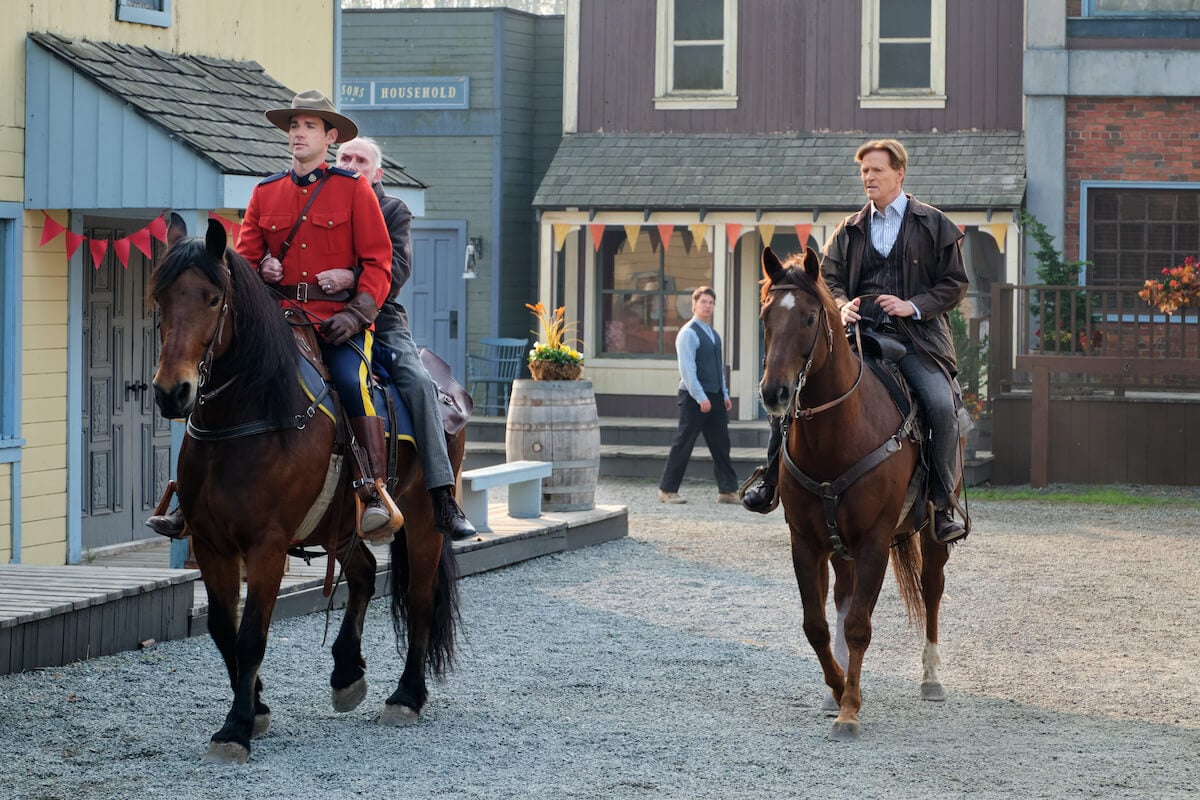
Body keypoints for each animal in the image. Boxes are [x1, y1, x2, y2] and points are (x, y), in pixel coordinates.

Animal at [152, 219, 460, 762]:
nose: (173, 392)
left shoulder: (268, 545)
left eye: (213, 299)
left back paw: (406, 696)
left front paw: (235, 728)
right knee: (363, 574)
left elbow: (252, 634)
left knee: (421, 598)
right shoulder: (209, 543)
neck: (249, 413)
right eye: (160, 298)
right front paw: (254, 708)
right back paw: (347, 672)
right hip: (339, 526)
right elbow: (223, 629)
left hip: (424, 520)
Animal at [753, 247, 950, 743]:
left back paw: (931, 678)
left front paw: (850, 710)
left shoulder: (875, 542)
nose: (775, 392)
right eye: (765, 316)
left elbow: (860, 624)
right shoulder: (806, 542)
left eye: (808, 318)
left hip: (931, 532)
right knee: (841, 598)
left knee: (932, 589)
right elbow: (818, 625)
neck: (836, 434)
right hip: (838, 547)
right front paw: (838, 687)